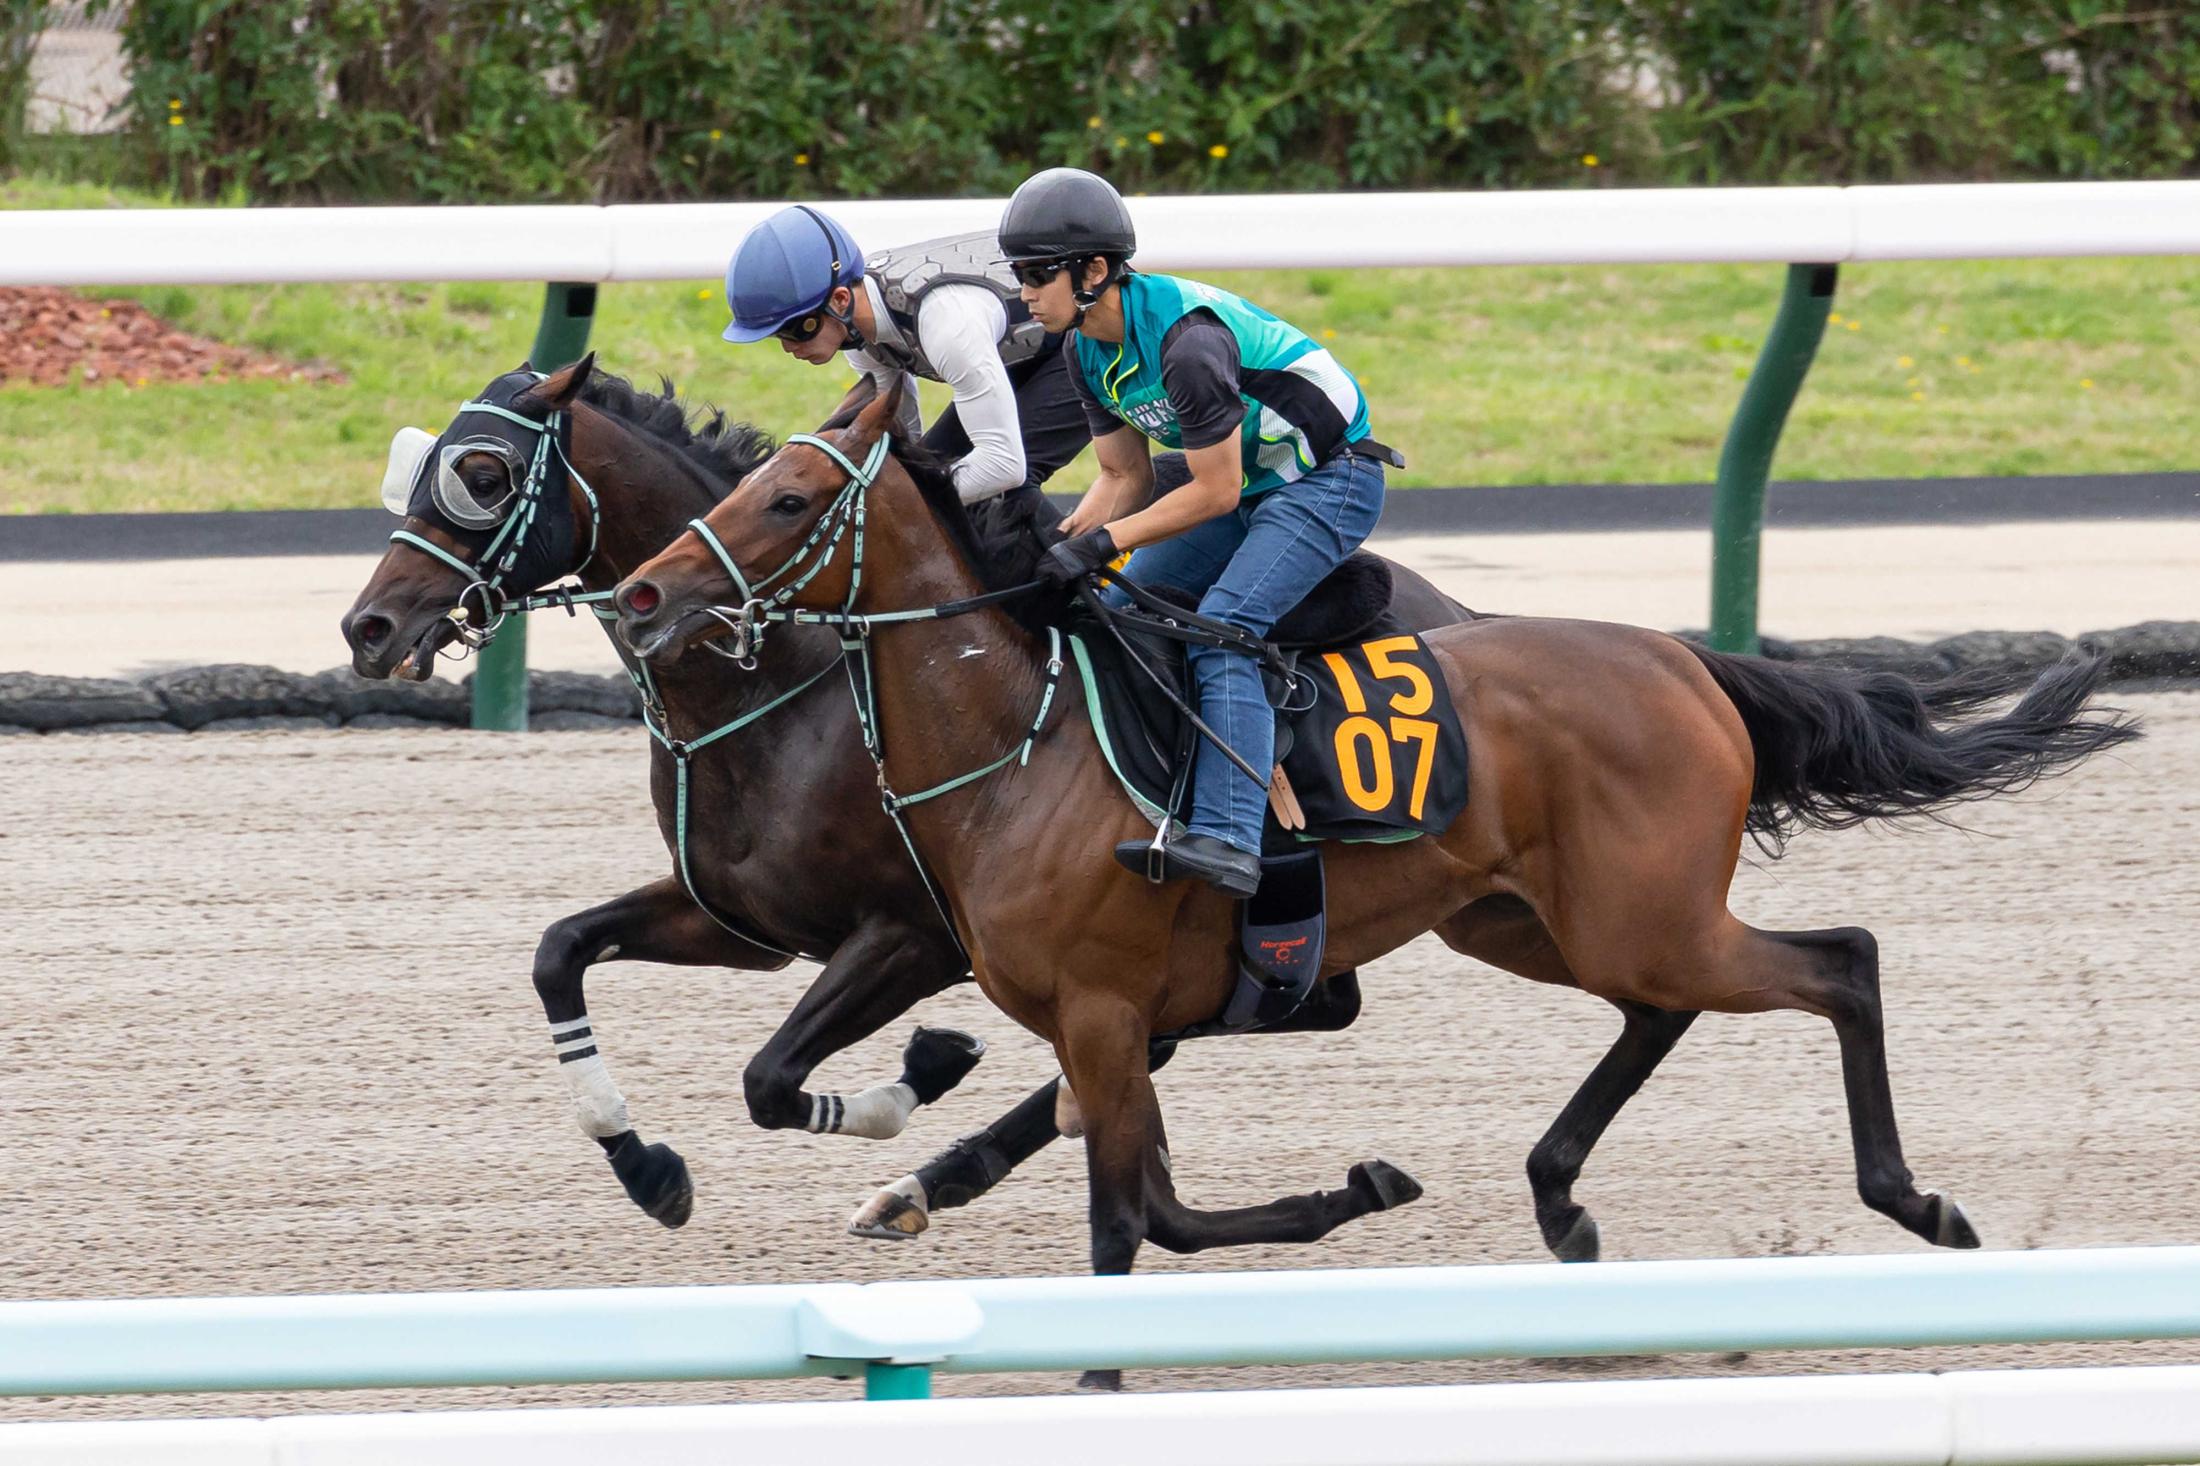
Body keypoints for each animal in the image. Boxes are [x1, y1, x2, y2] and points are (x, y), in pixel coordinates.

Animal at [343, 354, 1469, 1232]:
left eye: (480, 474)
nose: (368, 627)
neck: (782, 688)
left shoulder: (910, 935)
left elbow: (770, 1079)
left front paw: (929, 1066)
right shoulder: (744, 920)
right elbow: (560, 953)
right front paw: (647, 1164)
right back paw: (939, 1177)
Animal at [616, 385, 2147, 1276]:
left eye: (790, 497)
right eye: (737, 482)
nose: (641, 597)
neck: (1021, 747)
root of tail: (1688, 659)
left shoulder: (1103, 1010)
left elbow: (1126, 1221)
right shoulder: (1094, 1020)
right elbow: (1158, 1205)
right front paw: (1358, 1183)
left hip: (1640, 914)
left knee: (1843, 958)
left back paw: (1914, 1200)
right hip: (1538, 919)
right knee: (1673, 1004)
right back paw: (1558, 1195)